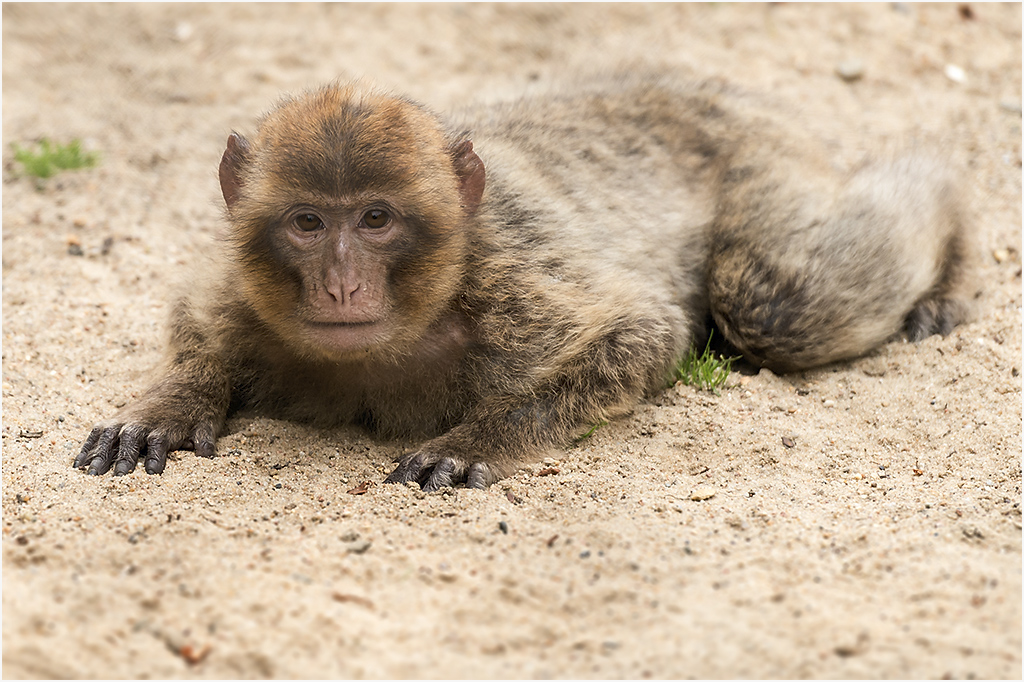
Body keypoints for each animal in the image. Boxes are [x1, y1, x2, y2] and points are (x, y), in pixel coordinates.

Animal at [74, 75, 966, 489]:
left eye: (375, 219)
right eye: (308, 223)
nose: (341, 285)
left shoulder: (515, 285)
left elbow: (643, 333)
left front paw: (477, 442)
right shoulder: (243, 289)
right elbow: (195, 324)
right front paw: (170, 402)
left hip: (760, 155)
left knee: (779, 304)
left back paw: (951, 230)